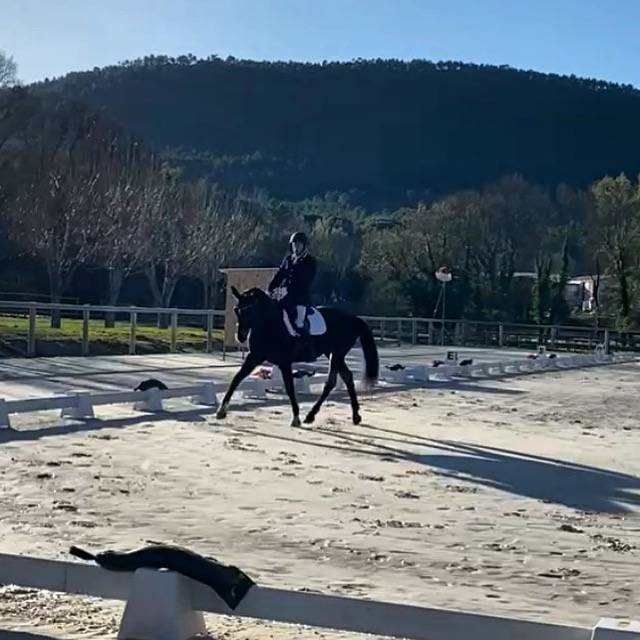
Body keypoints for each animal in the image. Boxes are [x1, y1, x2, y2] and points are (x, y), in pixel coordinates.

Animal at [216, 287, 379, 427]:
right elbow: (236, 379)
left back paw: (311, 415)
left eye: (250, 310)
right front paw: (221, 411)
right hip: (332, 354)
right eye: (236, 310)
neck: (270, 325)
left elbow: (289, 387)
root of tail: (354, 318)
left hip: (337, 353)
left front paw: (296, 418)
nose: (241, 337)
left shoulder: (284, 362)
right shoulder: (255, 356)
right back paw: (355, 416)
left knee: (331, 382)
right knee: (347, 377)